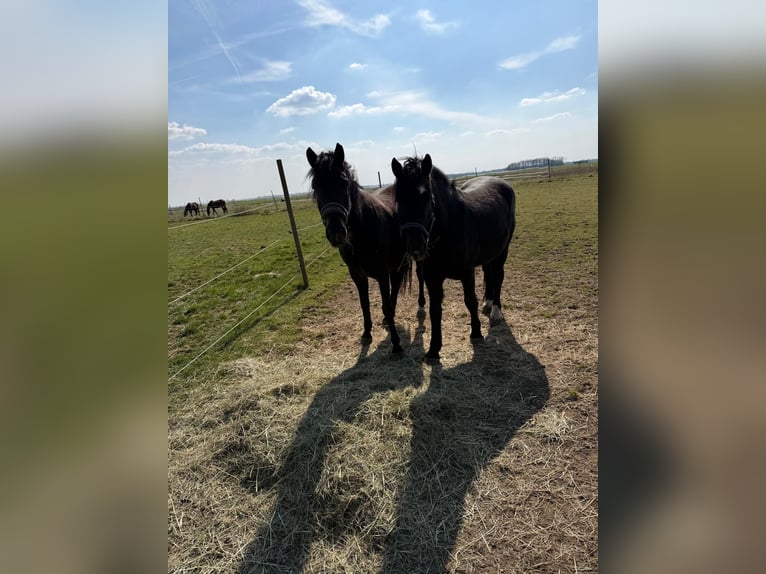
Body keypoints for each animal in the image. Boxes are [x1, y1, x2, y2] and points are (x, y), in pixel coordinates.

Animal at [306, 143, 426, 353]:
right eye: (315, 185)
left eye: (344, 182)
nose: (336, 232)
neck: (363, 230)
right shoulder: (358, 275)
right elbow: (365, 304)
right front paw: (367, 333)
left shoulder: (381, 274)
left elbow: (386, 304)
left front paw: (396, 344)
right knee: (396, 285)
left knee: (418, 276)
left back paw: (420, 307)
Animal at [391, 154, 516, 359]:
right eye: (398, 198)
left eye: (426, 196)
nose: (415, 247)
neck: (448, 229)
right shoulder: (432, 278)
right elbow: (435, 310)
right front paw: (434, 349)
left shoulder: (467, 273)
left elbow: (470, 301)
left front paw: (476, 333)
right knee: (489, 274)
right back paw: (488, 303)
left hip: (502, 252)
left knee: (498, 277)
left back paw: (496, 311)